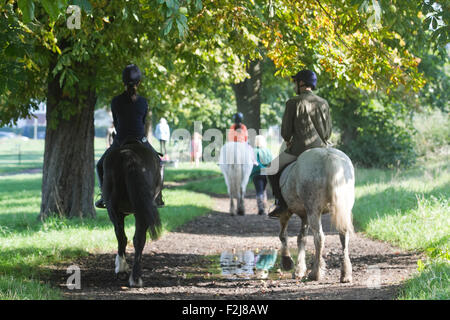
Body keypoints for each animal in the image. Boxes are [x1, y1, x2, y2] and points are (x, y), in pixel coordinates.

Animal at [103, 140, 163, 288]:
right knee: (137, 239)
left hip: (117, 210)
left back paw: (124, 270)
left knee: (123, 237)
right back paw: (135, 277)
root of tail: (128, 154)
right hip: (140, 209)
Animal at [278, 148, 356, 282]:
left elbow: (284, 235)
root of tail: (329, 156)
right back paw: (345, 274)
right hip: (342, 209)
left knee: (319, 237)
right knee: (343, 236)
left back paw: (315, 273)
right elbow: (301, 238)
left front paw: (287, 261)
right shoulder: (304, 216)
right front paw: (299, 270)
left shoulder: (287, 212)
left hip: (313, 210)